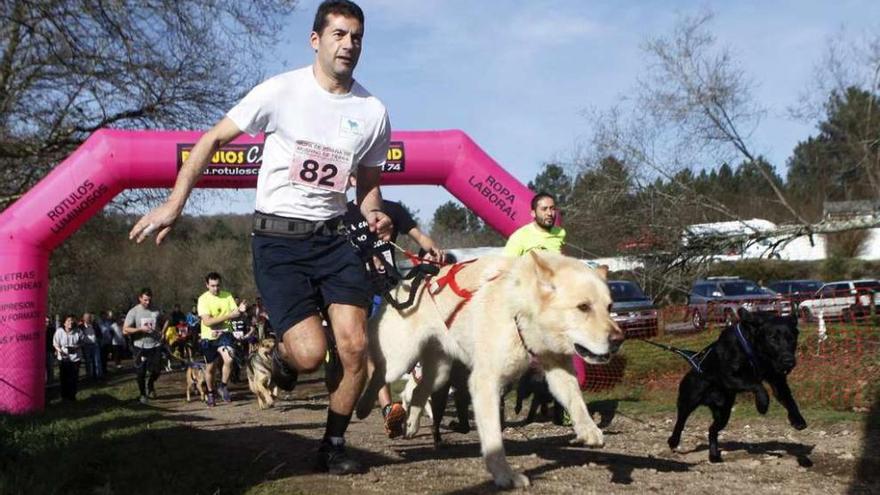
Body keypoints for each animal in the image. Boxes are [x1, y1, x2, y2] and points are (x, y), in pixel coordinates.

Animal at [354, 252, 624, 488]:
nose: (618, 340)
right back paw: (364, 407)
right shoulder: (485, 383)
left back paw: (411, 424)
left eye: (610, 307)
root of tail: (403, 283)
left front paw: (588, 429)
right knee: (378, 375)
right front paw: (504, 475)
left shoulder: (558, 371)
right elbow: (494, 439)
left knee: (419, 391)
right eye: (583, 307)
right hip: (399, 360)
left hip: (440, 372)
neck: (518, 309)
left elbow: (576, 400)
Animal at [668, 310, 804, 464]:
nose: (789, 361)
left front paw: (798, 420)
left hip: (723, 413)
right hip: (688, 402)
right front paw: (762, 404)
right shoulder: (729, 376)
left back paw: (713, 456)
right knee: (680, 423)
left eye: (792, 338)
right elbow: (757, 385)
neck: (755, 352)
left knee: (712, 430)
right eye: (772, 339)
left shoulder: (778, 381)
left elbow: (789, 400)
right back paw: (673, 441)